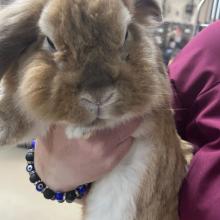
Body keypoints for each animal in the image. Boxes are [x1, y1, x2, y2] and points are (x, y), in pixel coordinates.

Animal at [0, 0, 186, 219]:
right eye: (50, 42)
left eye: (126, 34)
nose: (98, 95)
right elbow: (26, 114)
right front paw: (3, 129)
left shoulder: (149, 110)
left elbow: (116, 118)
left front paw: (79, 130)